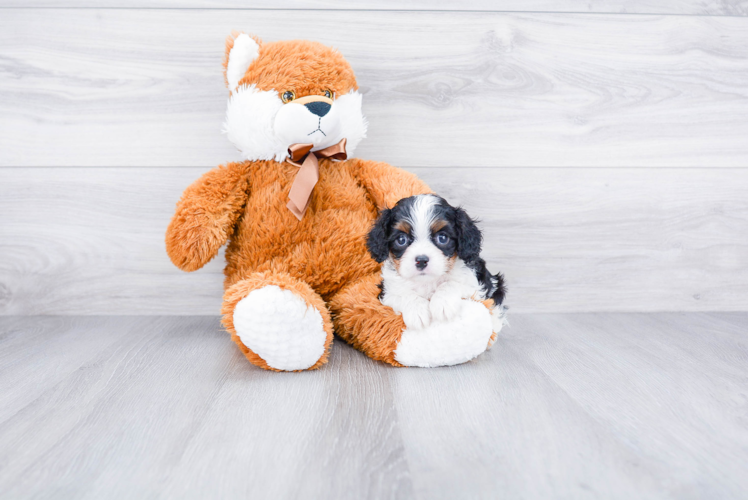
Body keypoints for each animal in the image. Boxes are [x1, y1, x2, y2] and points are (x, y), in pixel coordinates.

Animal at [366, 193, 506, 330]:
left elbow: (451, 283)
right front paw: (417, 310)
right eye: (401, 240)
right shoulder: (386, 292)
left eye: (442, 238)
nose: (421, 260)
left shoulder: (475, 286)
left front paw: (442, 303)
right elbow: (402, 293)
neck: (427, 281)